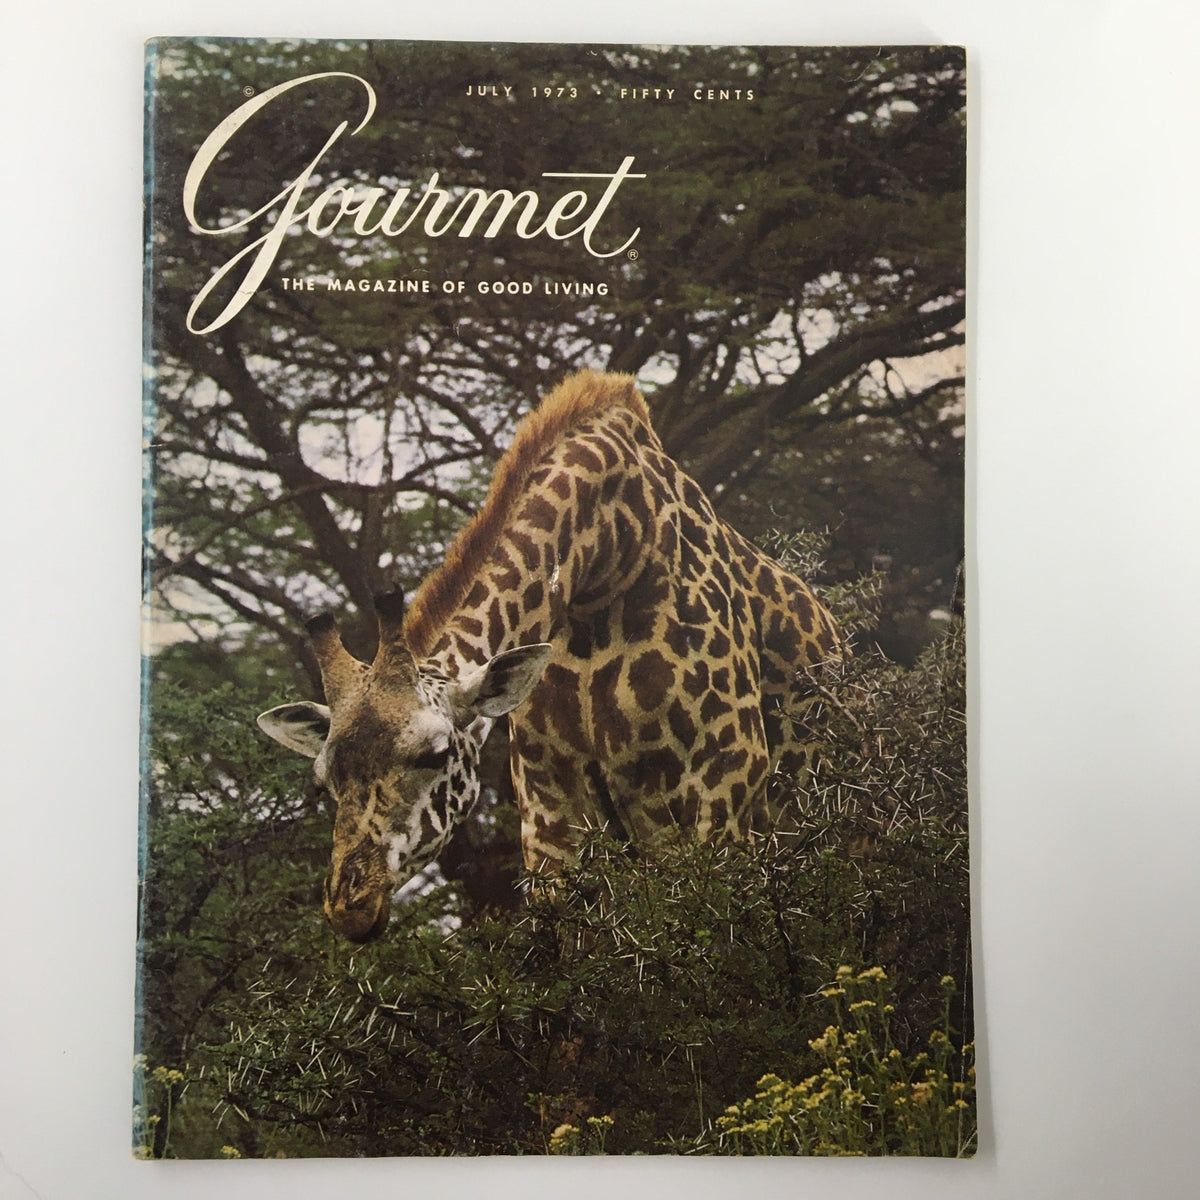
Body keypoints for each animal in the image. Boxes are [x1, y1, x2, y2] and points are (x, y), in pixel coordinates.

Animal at [258, 370, 841, 942]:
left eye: (433, 754)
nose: (351, 908)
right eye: (324, 779)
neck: (604, 567)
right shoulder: (549, 808)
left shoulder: (721, 786)